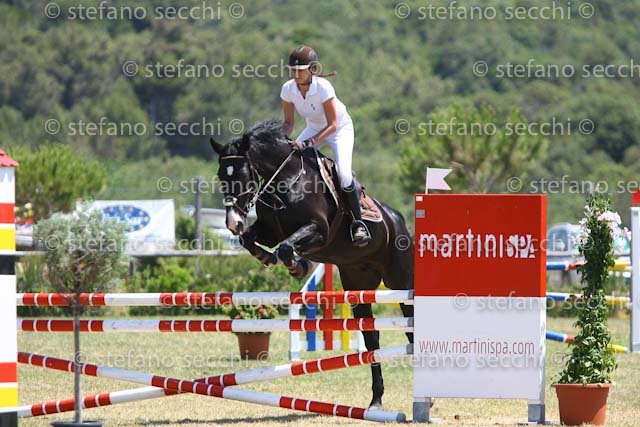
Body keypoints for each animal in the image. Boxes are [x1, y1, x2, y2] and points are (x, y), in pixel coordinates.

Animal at [209, 119, 414, 410]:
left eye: (242, 174)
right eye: (220, 175)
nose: (232, 222)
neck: (285, 182)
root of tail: (399, 220)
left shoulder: (318, 230)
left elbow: (286, 247)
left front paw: (298, 265)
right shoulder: (270, 230)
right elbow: (250, 239)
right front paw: (271, 258)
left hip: (401, 282)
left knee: (410, 329)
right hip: (358, 287)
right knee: (372, 339)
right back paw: (376, 400)